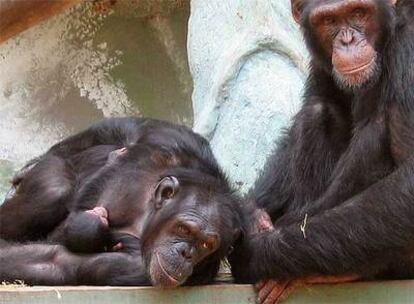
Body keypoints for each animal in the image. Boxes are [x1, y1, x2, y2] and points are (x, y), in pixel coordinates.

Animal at [0, 117, 243, 288]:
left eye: (206, 245)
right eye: (184, 228)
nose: (186, 253)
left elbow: (58, 260)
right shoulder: (126, 184)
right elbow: (134, 129)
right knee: (54, 191)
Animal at [230, 0, 414, 302]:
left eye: (358, 13)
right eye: (329, 21)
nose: (348, 39)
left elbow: (407, 182)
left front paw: (255, 252)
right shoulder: (320, 64)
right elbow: (316, 102)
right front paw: (251, 212)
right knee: (318, 112)